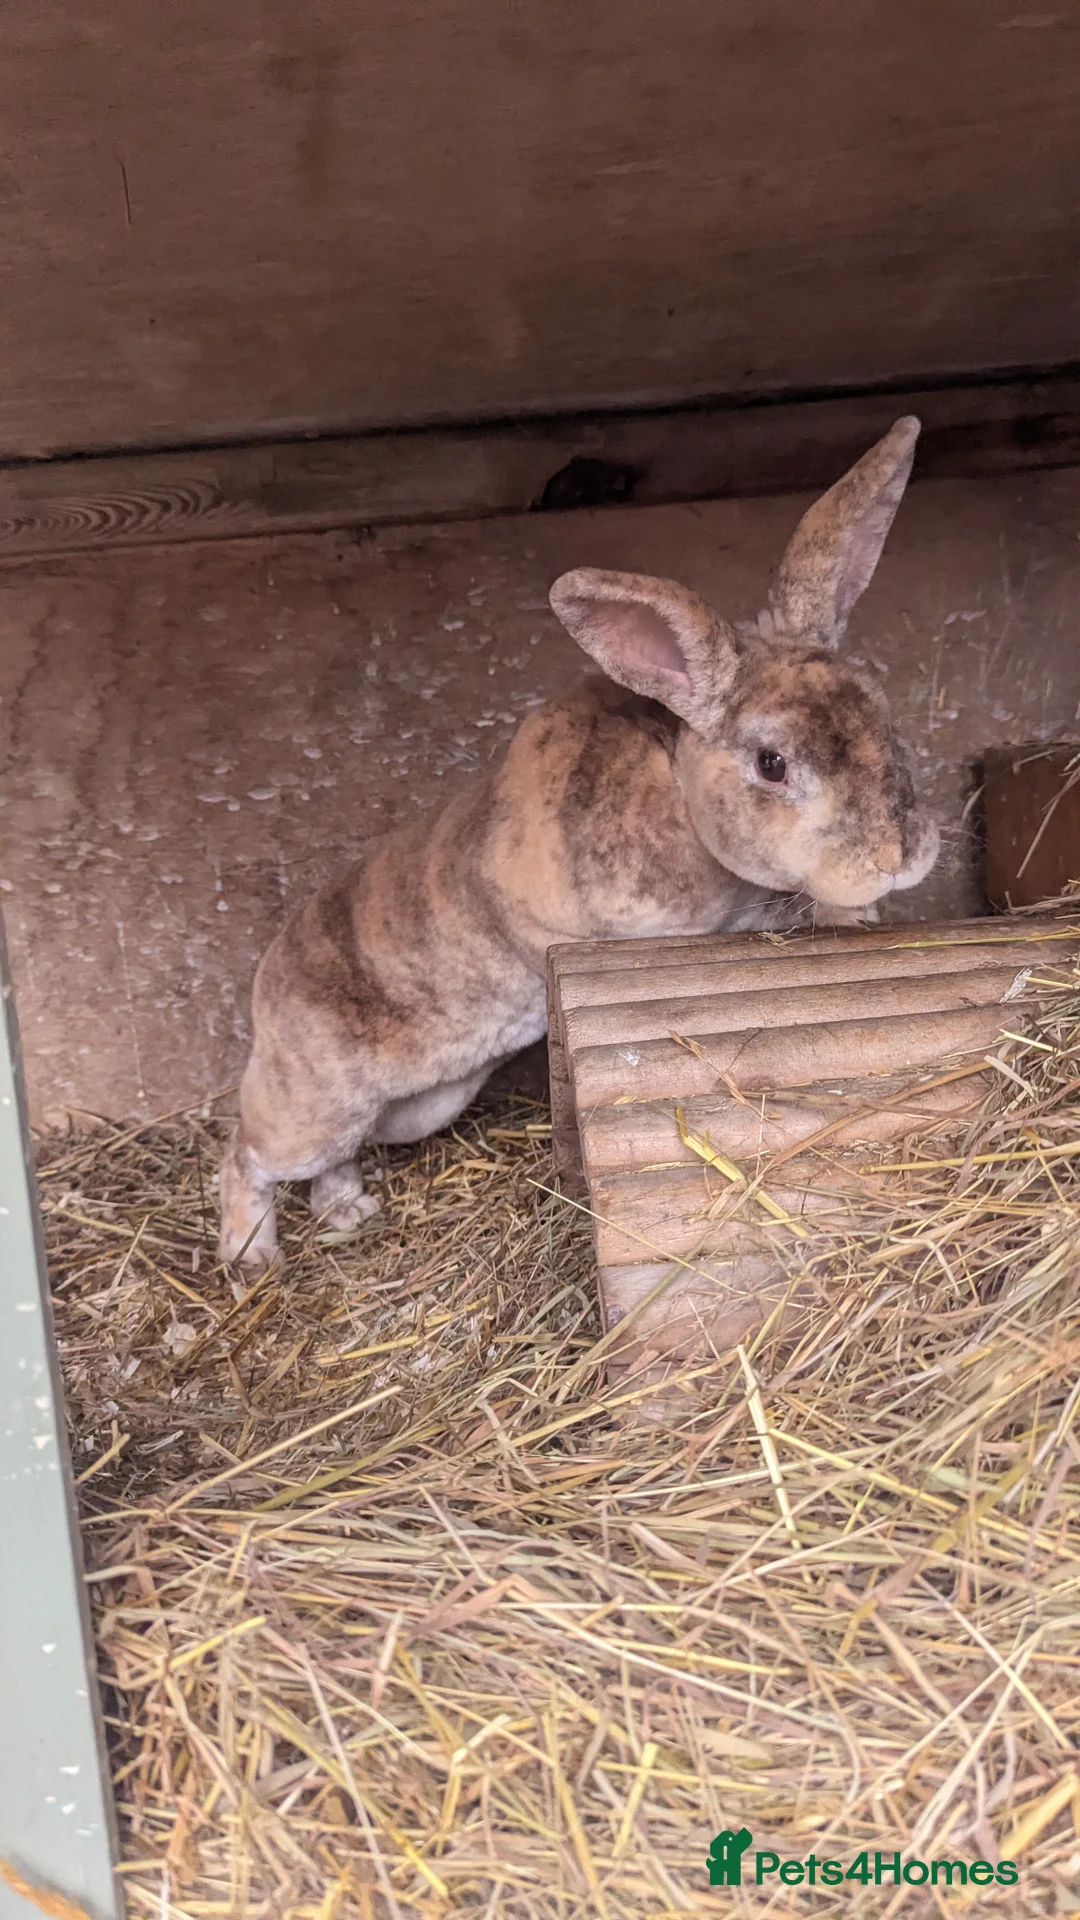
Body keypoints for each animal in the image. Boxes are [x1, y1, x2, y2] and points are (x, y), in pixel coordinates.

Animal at [219, 416, 938, 1270]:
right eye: (772, 763)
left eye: (883, 714)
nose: (900, 856)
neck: (681, 804)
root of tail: (265, 983)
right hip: (313, 1107)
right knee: (247, 1155)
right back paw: (251, 1255)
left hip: (419, 1107)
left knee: (335, 1162)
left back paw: (350, 1212)